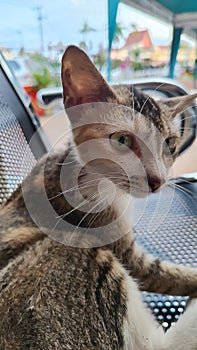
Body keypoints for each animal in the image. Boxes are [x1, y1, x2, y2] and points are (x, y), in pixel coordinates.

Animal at [0, 45, 197, 348]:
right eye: (122, 140)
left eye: (169, 144)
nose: (158, 181)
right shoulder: (120, 246)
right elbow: (165, 273)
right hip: (73, 246)